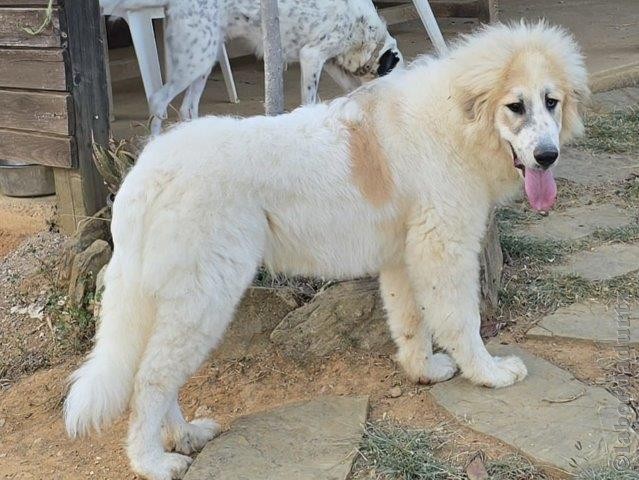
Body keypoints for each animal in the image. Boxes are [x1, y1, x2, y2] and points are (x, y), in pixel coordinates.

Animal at [65, 21, 592, 480]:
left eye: (551, 102)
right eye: (515, 106)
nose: (547, 156)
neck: (457, 121)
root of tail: (146, 171)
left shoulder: (402, 258)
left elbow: (411, 324)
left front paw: (423, 372)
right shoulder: (444, 250)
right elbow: (461, 320)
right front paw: (487, 373)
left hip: (176, 301)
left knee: (155, 373)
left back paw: (184, 436)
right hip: (204, 298)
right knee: (150, 379)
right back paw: (153, 461)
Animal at [102, 0, 402, 134]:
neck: (366, 32)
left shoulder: (329, 62)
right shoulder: (312, 56)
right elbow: (310, 98)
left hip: (204, 59)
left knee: (187, 108)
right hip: (194, 61)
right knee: (157, 99)